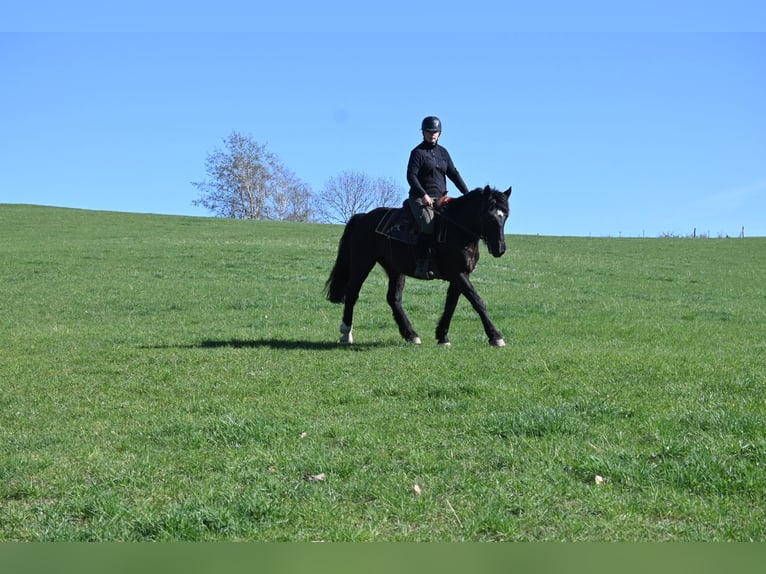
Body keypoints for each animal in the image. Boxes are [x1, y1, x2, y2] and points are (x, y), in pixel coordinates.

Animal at [324, 185, 512, 346]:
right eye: (488, 215)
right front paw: (495, 337)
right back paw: (346, 333)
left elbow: (451, 305)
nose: (500, 249)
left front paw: (442, 336)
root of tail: (363, 217)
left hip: (395, 269)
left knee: (394, 299)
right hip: (362, 263)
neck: (457, 229)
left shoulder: (460, 275)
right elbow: (477, 301)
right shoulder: (458, 274)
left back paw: (411, 334)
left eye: (505, 216)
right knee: (352, 294)